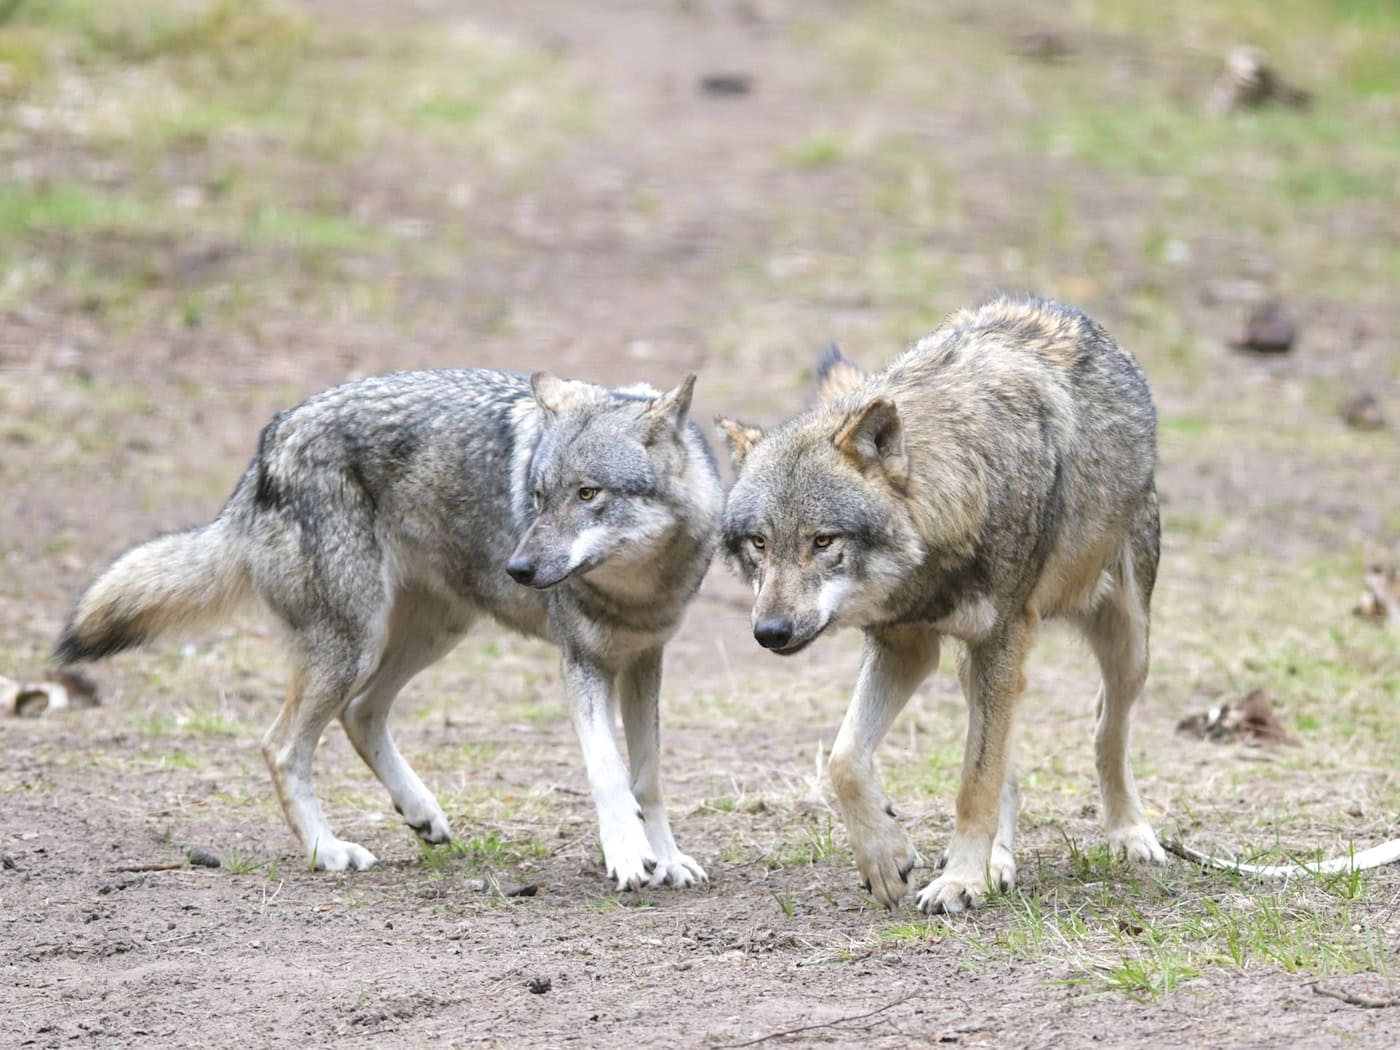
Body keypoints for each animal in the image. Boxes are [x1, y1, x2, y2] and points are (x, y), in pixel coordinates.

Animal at [56, 368, 722, 890]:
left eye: (588, 494)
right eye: (536, 496)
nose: (519, 569)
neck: (637, 589)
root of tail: (270, 443)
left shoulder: (644, 661)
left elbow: (648, 777)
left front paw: (667, 858)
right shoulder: (581, 663)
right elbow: (608, 771)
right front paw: (629, 857)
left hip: (433, 633)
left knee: (361, 713)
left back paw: (419, 812)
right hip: (353, 646)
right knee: (281, 744)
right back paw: (327, 851)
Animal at [717, 296, 1166, 913]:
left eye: (823, 541)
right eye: (759, 543)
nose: (771, 632)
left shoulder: (1000, 638)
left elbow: (975, 783)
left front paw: (959, 880)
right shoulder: (905, 646)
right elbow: (844, 760)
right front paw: (887, 858)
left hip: (1126, 644)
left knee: (1105, 729)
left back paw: (1129, 834)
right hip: (974, 666)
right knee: (1010, 764)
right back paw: (1000, 862)